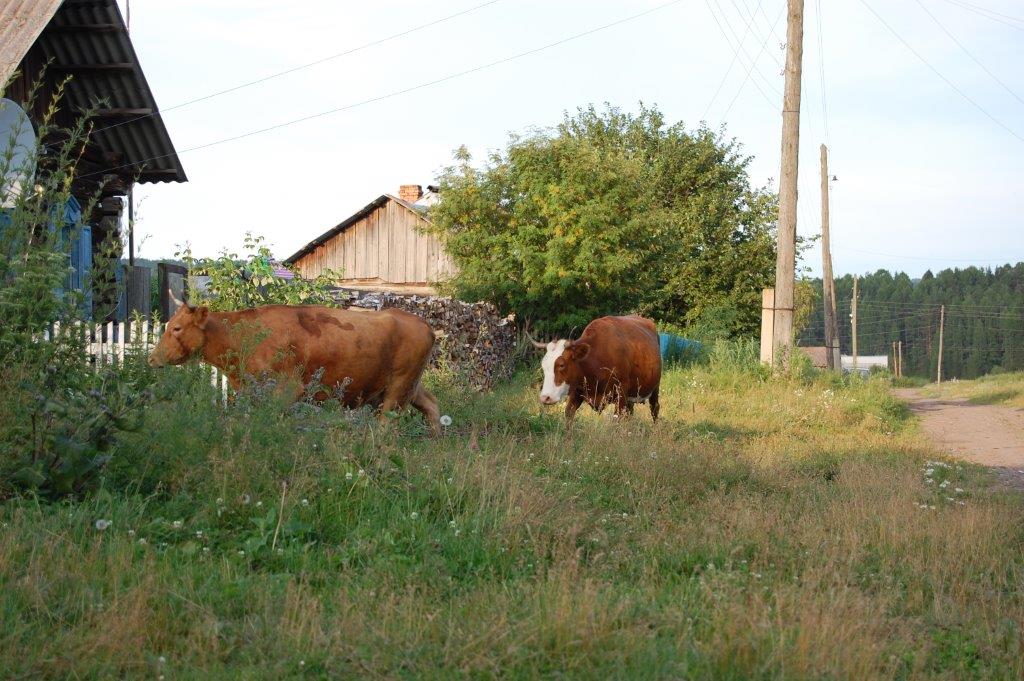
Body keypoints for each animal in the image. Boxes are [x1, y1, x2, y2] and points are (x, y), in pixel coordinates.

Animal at [148, 302, 442, 435]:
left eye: (177, 328)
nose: (152, 359)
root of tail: (421, 322)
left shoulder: (287, 389)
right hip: (408, 386)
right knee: (431, 403)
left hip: (399, 388)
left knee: (386, 425)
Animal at [528, 315, 661, 422]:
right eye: (543, 365)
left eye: (562, 365)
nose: (545, 397)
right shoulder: (577, 391)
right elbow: (569, 415)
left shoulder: (621, 393)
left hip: (655, 387)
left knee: (655, 408)